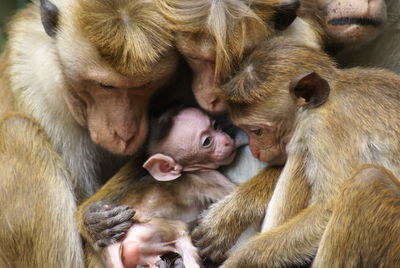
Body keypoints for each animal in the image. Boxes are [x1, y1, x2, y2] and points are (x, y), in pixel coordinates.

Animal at [0, 0, 189, 264]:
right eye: (105, 85)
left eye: (145, 84)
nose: (124, 132)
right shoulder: (36, 84)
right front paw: (93, 222)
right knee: (16, 129)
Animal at [77, 107, 242, 268]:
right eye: (207, 141)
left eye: (216, 126)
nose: (227, 141)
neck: (188, 171)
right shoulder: (206, 177)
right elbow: (230, 190)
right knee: (181, 232)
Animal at [191, 36, 400, 266]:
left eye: (257, 131)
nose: (255, 150)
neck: (332, 94)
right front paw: (229, 214)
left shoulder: (325, 127)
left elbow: (326, 209)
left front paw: (239, 260)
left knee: (367, 180)